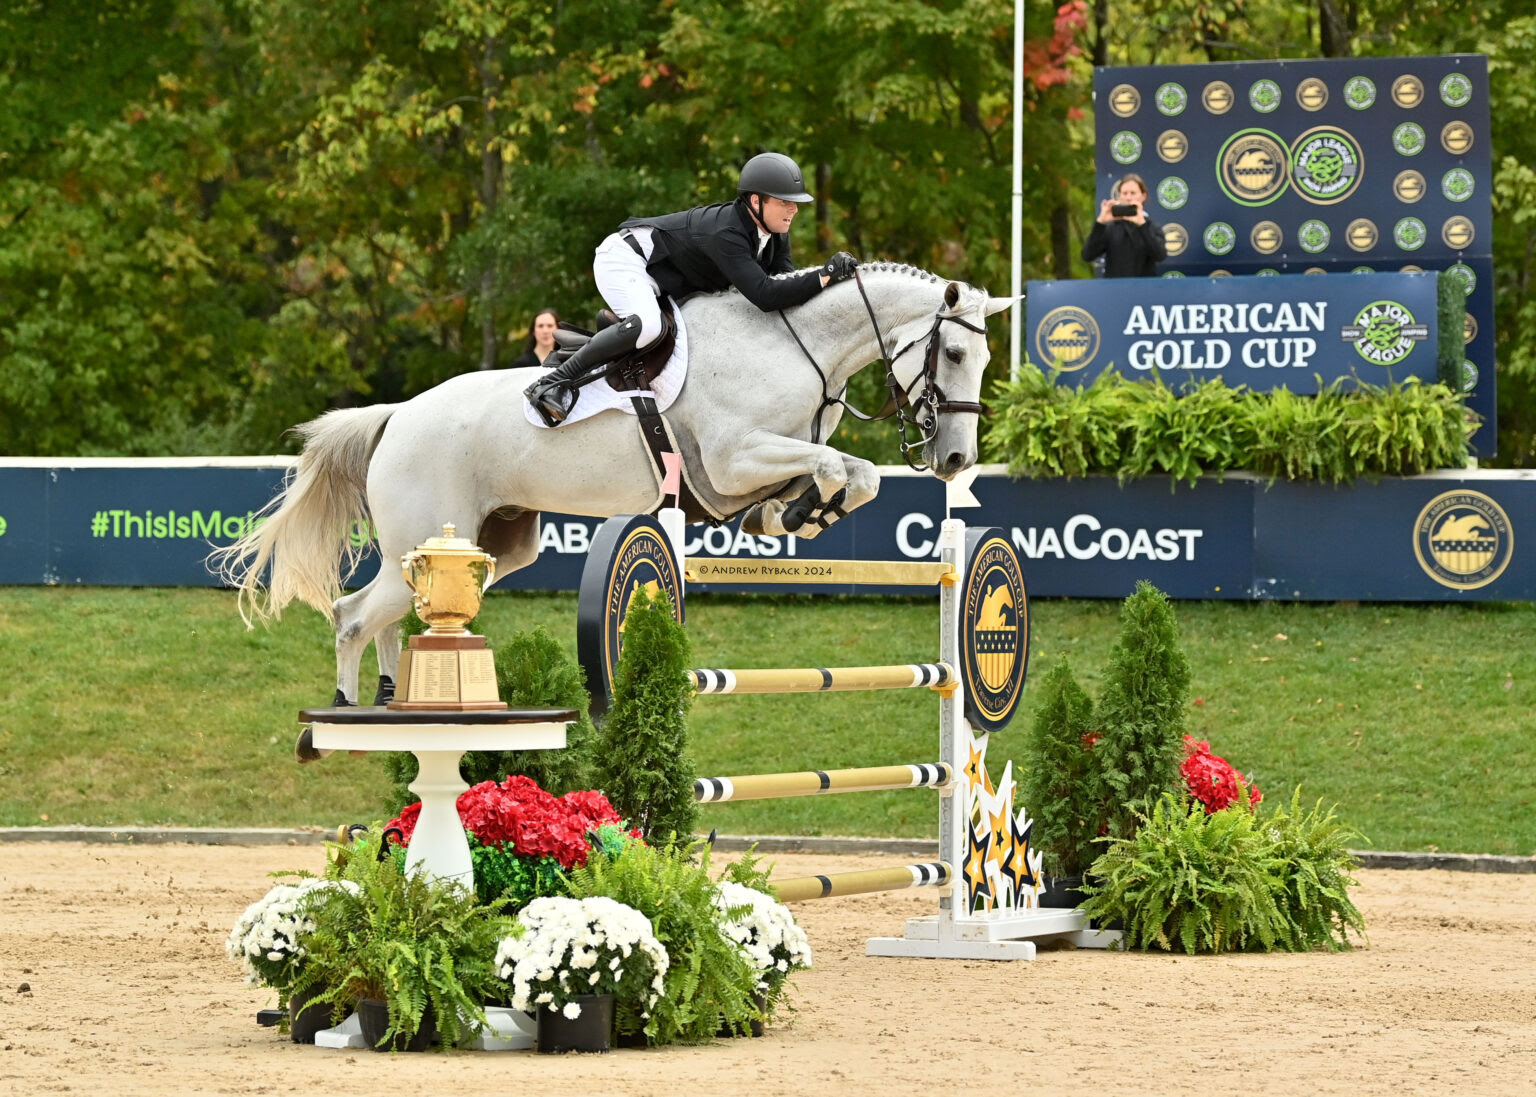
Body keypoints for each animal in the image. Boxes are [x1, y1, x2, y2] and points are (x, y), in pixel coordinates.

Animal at [213, 261, 1007, 697]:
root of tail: (397, 416)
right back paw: (338, 724)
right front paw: (797, 511)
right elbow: (840, 467)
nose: (956, 463)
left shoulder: (761, 463)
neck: (796, 344)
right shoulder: (732, 460)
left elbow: (856, 474)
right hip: (431, 536)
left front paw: (793, 515)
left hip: (491, 547)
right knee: (352, 615)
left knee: (384, 617)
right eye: (955, 354)